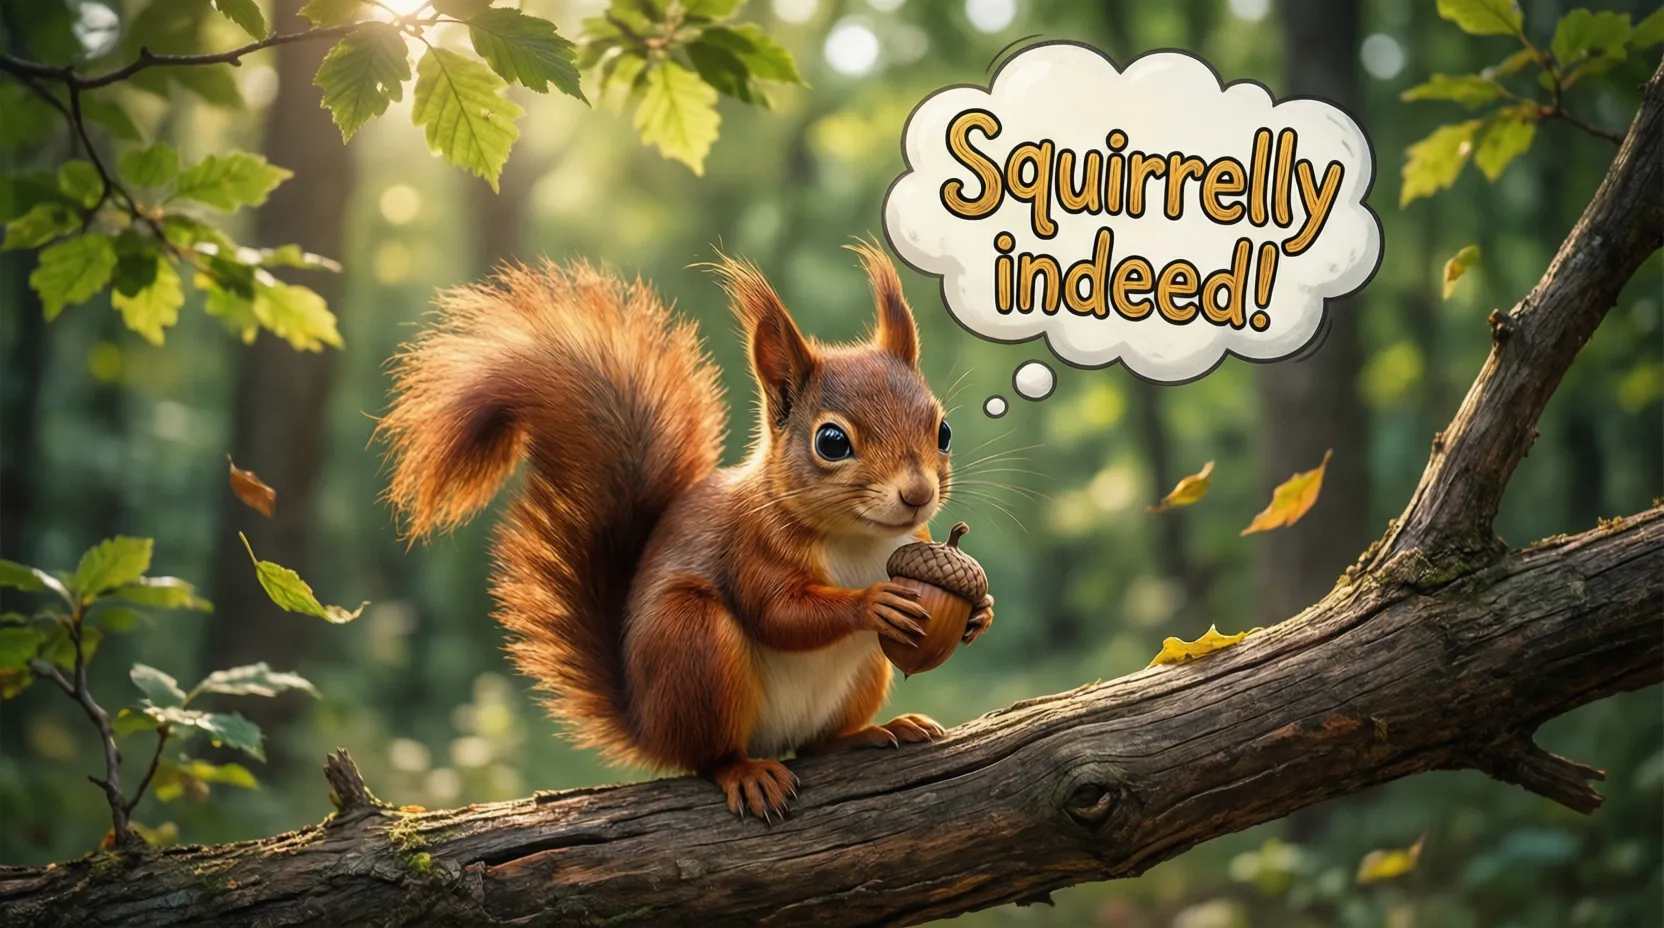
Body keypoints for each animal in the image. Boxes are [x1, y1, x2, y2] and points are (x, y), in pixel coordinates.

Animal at [377, 242, 993, 820]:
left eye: (943, 430)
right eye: (832, 442)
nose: (917, 494)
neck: (859, 539)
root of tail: (648, 724)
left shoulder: (912, 542)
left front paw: (980, 614)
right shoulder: (748, 546)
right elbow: (779, 614)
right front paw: (871, 603)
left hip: (861, 676)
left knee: (816, 745)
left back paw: (868, 733)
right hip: (690, 640)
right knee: (709, 755)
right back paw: (745, 771)